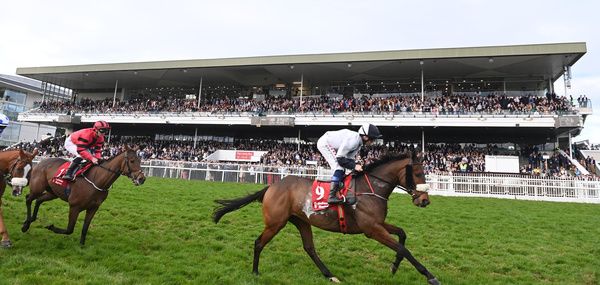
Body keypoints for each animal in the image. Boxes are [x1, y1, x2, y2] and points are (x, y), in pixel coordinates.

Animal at [213, 153, 438, 284]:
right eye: (418, 173)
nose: (425, 201)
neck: (370, 188)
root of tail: (272, 186)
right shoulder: (372, 229)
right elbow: (403, 248)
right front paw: (430, 276)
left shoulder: (378, 224)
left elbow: (402, 235)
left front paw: (394, 266)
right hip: (276, 223)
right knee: (259, 243)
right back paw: (255, 272)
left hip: (302, 221)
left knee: (309, 248)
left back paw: (329, 275)